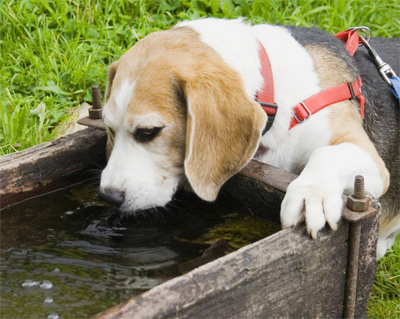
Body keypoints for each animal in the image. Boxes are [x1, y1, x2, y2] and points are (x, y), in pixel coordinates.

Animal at [97, 17, 400, 258]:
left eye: (149, 132)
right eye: (109, 128)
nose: (108, 196)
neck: (276, 95)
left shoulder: (368, 158)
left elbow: (325, 153)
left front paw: (310, 193)